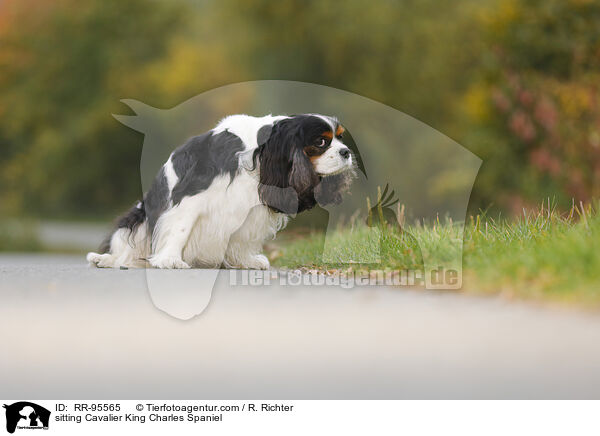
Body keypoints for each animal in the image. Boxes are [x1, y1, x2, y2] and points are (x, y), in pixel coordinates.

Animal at [86, 113, 354, 270]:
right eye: (321, 142)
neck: (258, 151)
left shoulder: (251, 207)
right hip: (137, 218)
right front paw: (170, 258)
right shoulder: (191, 197)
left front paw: (246, 260)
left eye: (341, 138)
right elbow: (180, 230)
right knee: (125, 249)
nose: (346, 152)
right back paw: (105, 259)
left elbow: (246, 237)